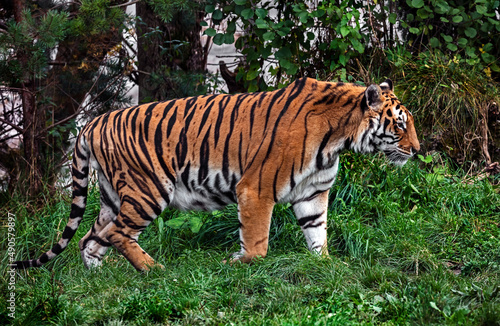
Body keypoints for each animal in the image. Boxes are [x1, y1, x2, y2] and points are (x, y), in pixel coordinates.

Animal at [11, 77, 420, 272]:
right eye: (400, 124)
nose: (417, 150)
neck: (338, 139)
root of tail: (91, 123)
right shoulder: (256, 188)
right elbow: (258, 242)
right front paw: (238, 263)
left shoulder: (312, 194)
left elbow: (317, 234)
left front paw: (326, 265)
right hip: (147, 190)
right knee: (116, 233)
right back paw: (154, 270)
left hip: (114, 195)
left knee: (90, 238)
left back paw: (101, 279)